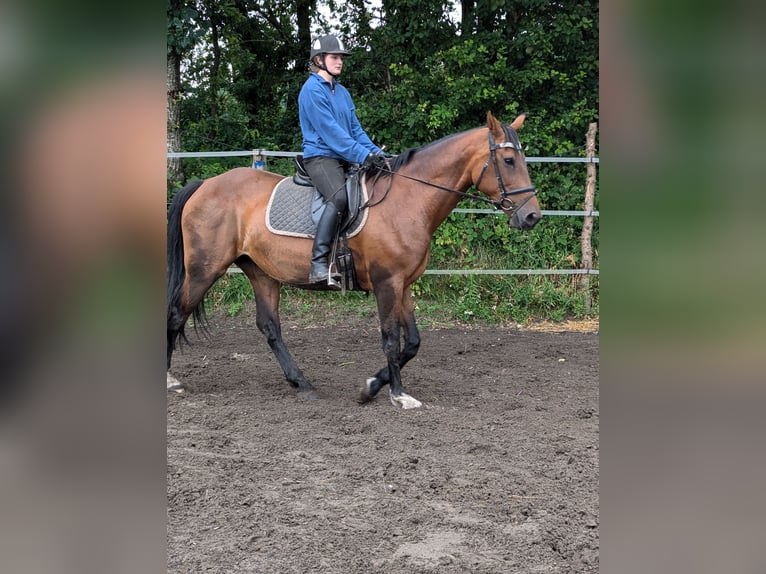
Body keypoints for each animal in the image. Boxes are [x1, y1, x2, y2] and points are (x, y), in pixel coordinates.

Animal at [167, 111, 544, 410]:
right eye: (508, 161)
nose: (532, 217)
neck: (408, 199)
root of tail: (206, 184)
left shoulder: (404, 284)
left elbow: (412, 342)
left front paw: (373, 386)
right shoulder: (386, 282)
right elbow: (391, 339)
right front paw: (396, 394)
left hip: (260, 272)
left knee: (270, 327)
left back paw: (302, 383)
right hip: (204, 269)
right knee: (175, 314)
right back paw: (170, 380)